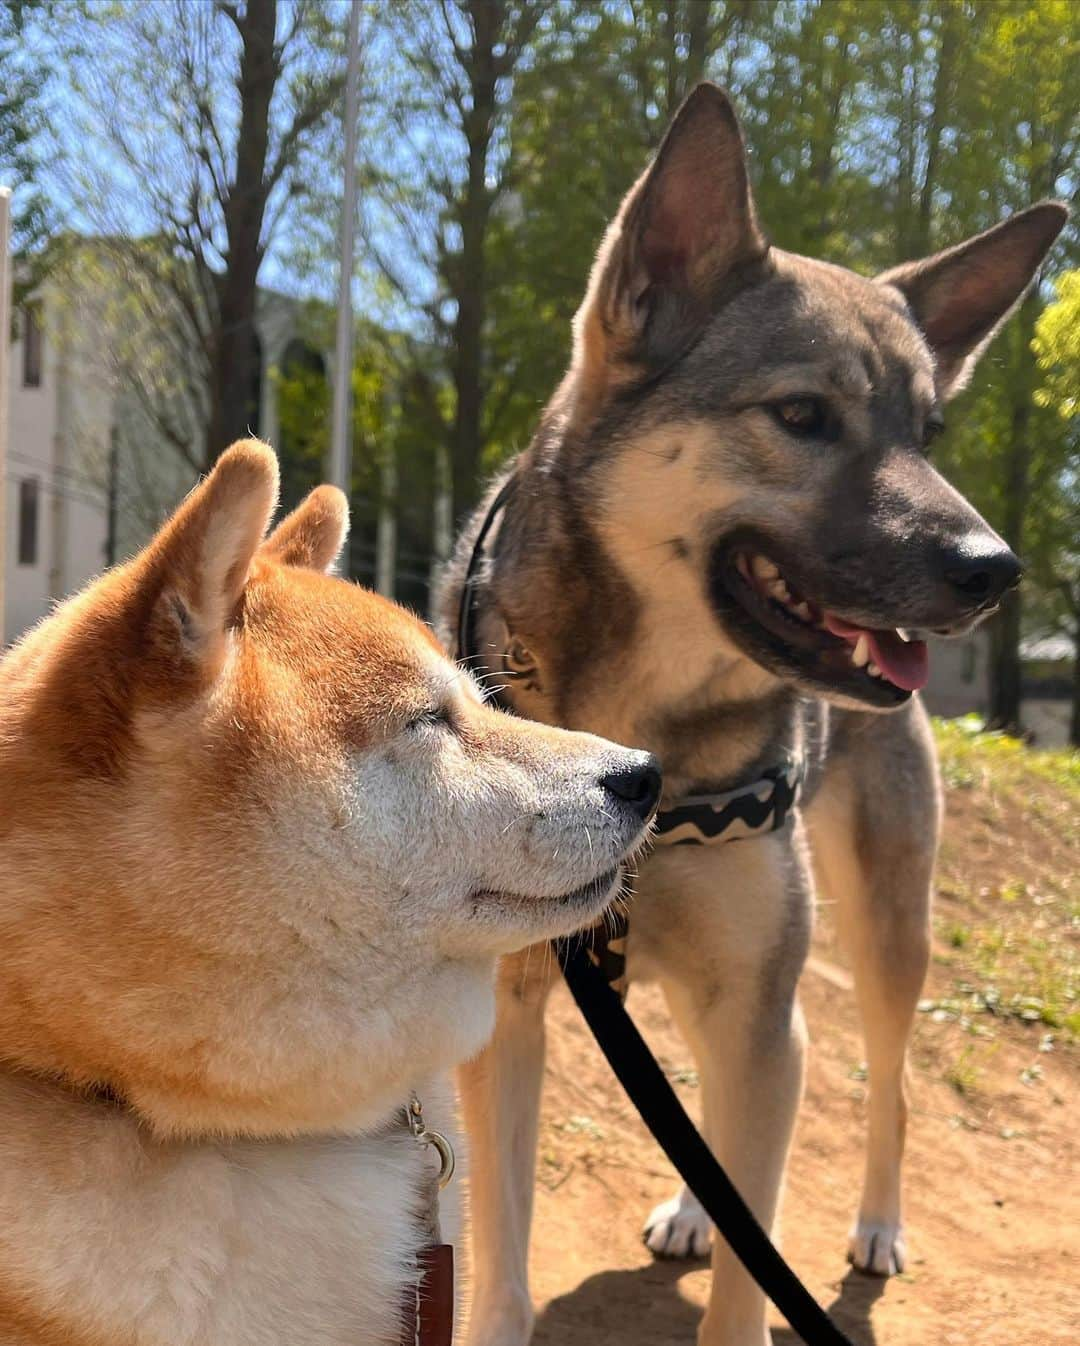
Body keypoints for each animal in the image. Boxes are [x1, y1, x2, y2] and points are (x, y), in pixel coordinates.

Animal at [436, 86, 1061, 1346]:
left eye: (928, 433)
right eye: (804, 413)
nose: (996, 569)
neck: (647, 724)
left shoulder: (760, 1007)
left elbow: (744, 1278)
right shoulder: (513, 1005)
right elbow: (503, 1263)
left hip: (878, 934)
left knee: (885, 1085)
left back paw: (874, 1223)